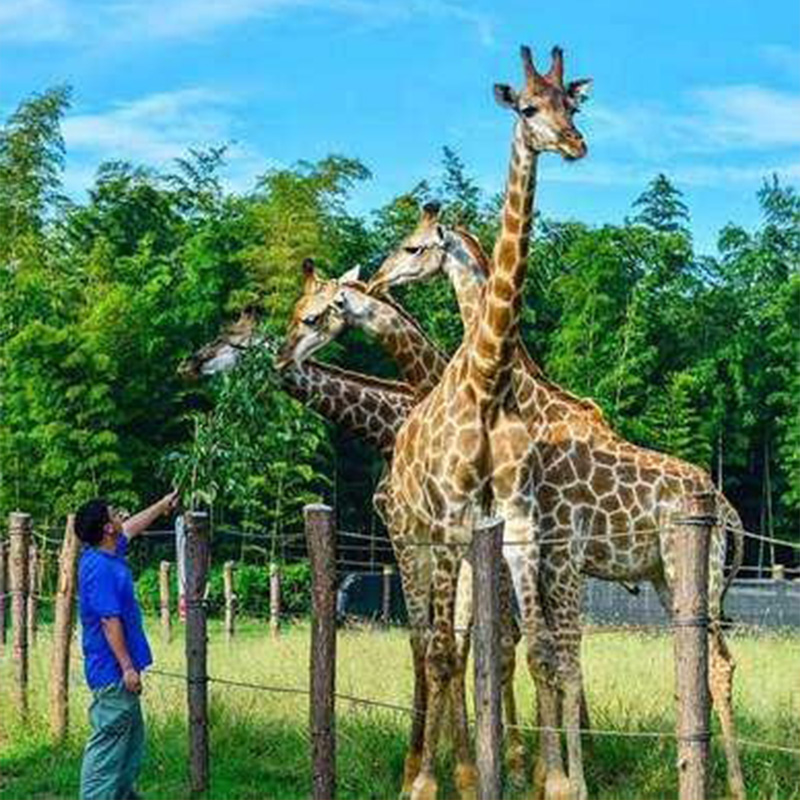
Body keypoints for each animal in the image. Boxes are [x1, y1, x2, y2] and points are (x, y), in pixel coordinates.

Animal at [370, 141, 752, 800]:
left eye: (413, 247)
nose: (375, 276)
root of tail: (727, 513)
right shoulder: (540, 556)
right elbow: (535, 657)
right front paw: (544, 773)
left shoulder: (559, 554)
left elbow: (556, 661)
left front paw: (562, 778)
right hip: (668, 575)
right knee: (704, 660)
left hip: (689, 572)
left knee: (714, 660)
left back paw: (728, 782)